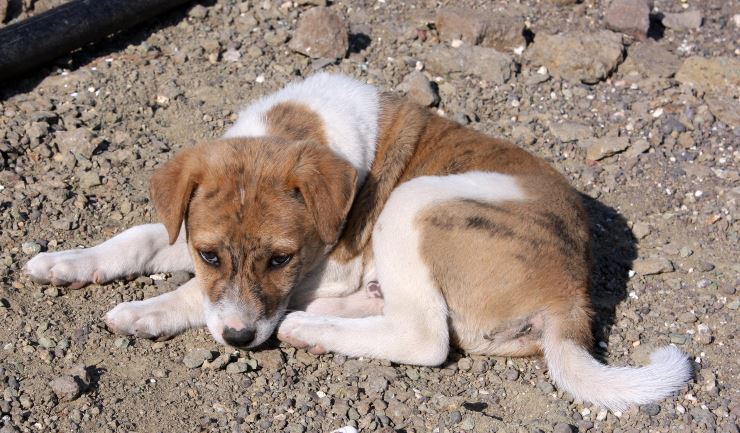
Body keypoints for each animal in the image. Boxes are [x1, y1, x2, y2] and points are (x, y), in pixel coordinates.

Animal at [25, 73, 691, 411]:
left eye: (281, 258)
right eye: (210, 253)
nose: (239, 339)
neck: (293, 125)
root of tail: (571, 298)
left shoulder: (332, 261)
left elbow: (193, 295)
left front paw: (147, 313)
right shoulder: (187, 234)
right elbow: (142, 236)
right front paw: (67, 261)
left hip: (411, 204)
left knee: (425, 337)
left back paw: (307, 327)